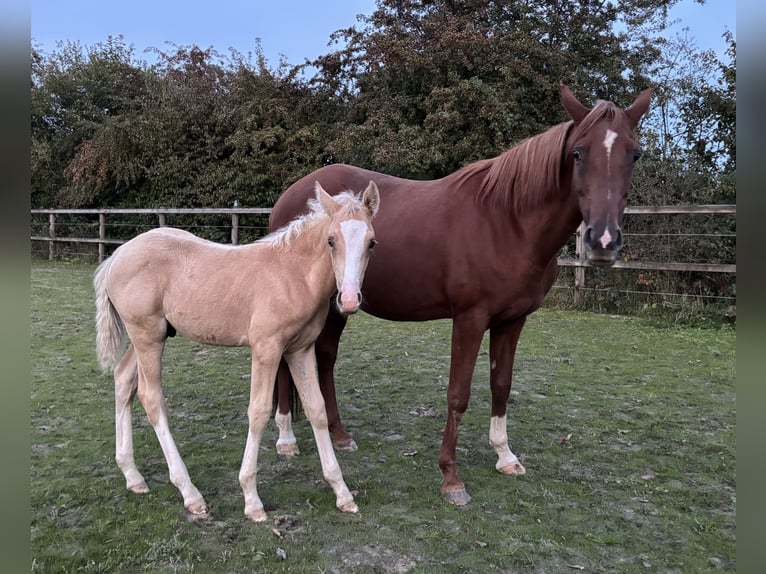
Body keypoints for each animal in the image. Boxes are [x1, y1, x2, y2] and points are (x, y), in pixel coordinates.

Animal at [93, 180, 380, 522]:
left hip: (151, 336)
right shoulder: (266, 348)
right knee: (151, 397)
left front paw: (342, 493)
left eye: (372, 242)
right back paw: (190, 494)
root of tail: (116, 256)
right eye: (331, 240)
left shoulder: (300, 349)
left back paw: (132, 475)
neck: (293, 274)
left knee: (123, 379)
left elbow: (317, 409)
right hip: (147, 336)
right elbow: (258, 412)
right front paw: (251, 500)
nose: (349, 300)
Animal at [269, 84, 653, 506]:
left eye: (634, 153)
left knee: (324, 357)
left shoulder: (512, 320)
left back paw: (339, 435)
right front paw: (451, 477)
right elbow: (458, 393)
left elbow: (501, 385)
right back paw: (286, 438)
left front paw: (505, 456)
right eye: (578, 153)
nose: (604, 241)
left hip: (338, 304)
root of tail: (290, 195)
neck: (508, 221)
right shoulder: (470, 319)